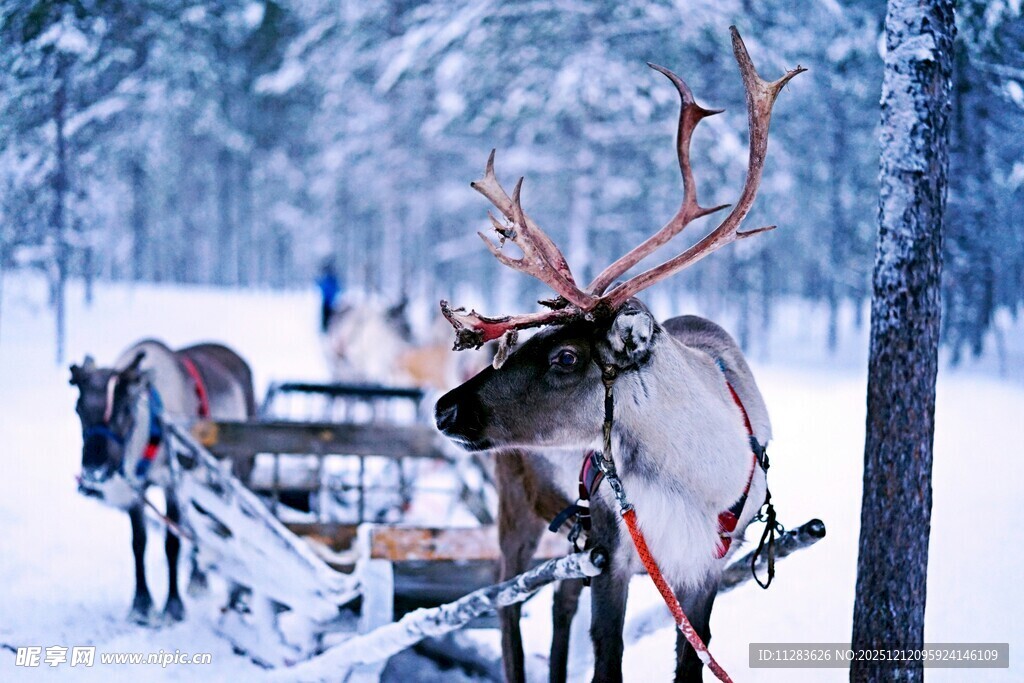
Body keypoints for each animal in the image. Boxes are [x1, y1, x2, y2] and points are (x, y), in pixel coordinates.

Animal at [433, 27, 803, 683]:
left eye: (564, 357)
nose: (444, 409)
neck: (694, 479)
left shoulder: (702, 566)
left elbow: (692, 657)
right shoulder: (614, 550)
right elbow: (608, 655)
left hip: (566, 535)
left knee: (557, 600)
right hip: (516, 510)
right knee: (507, 601)